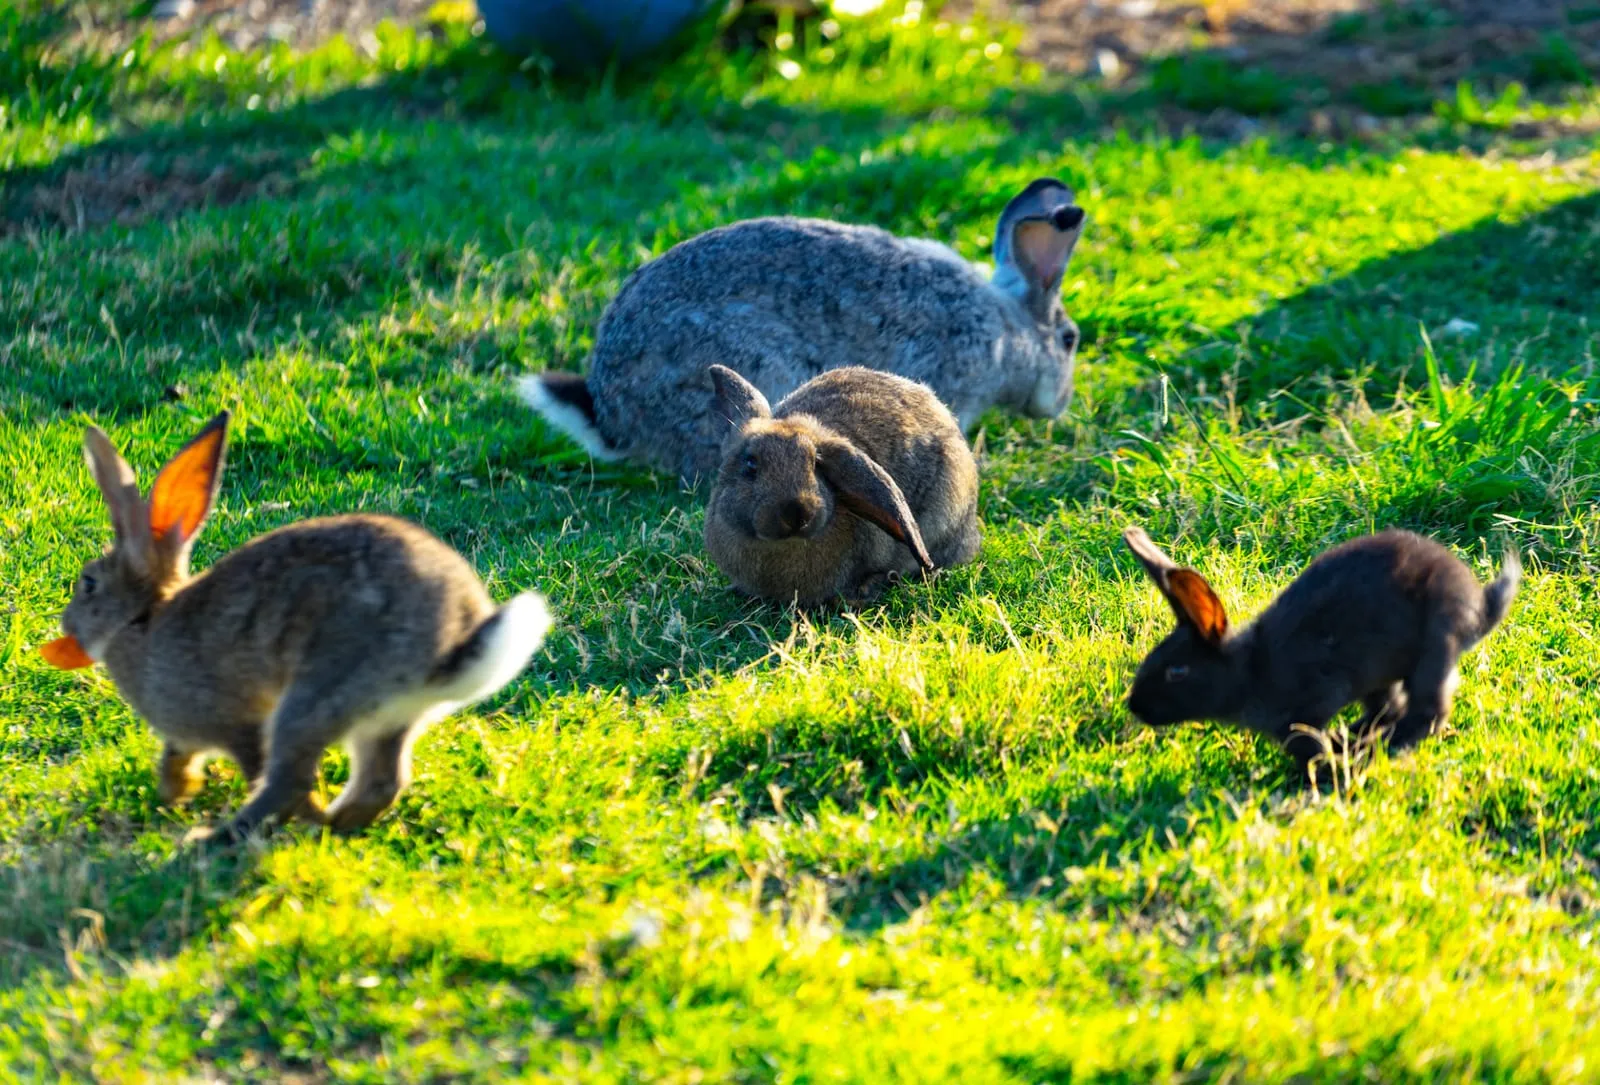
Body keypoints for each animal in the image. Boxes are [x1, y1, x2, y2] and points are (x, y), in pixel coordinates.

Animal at [39, 411, 553, 843]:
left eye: (88, 584)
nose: (66, 621)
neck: (143, 620)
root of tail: (448, 648)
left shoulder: (233, 722)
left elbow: (253, 764)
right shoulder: (183, 735)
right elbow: (177, 757)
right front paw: (174, 792)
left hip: (315, 697)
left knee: (291, 780)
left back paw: (223, 837)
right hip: (387, 718)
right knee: (382, 780)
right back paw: (334, 823)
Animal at [1121, 525, 1521, 776]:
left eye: (1176, 672)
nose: (1134, 706)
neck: (1250, 670)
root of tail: (1480, 609)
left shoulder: (1306, 709)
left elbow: (1308, 747)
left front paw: (1324, 772)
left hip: (1435, 645)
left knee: (1427, 713)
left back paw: (1370, 751)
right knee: (1391, 708)